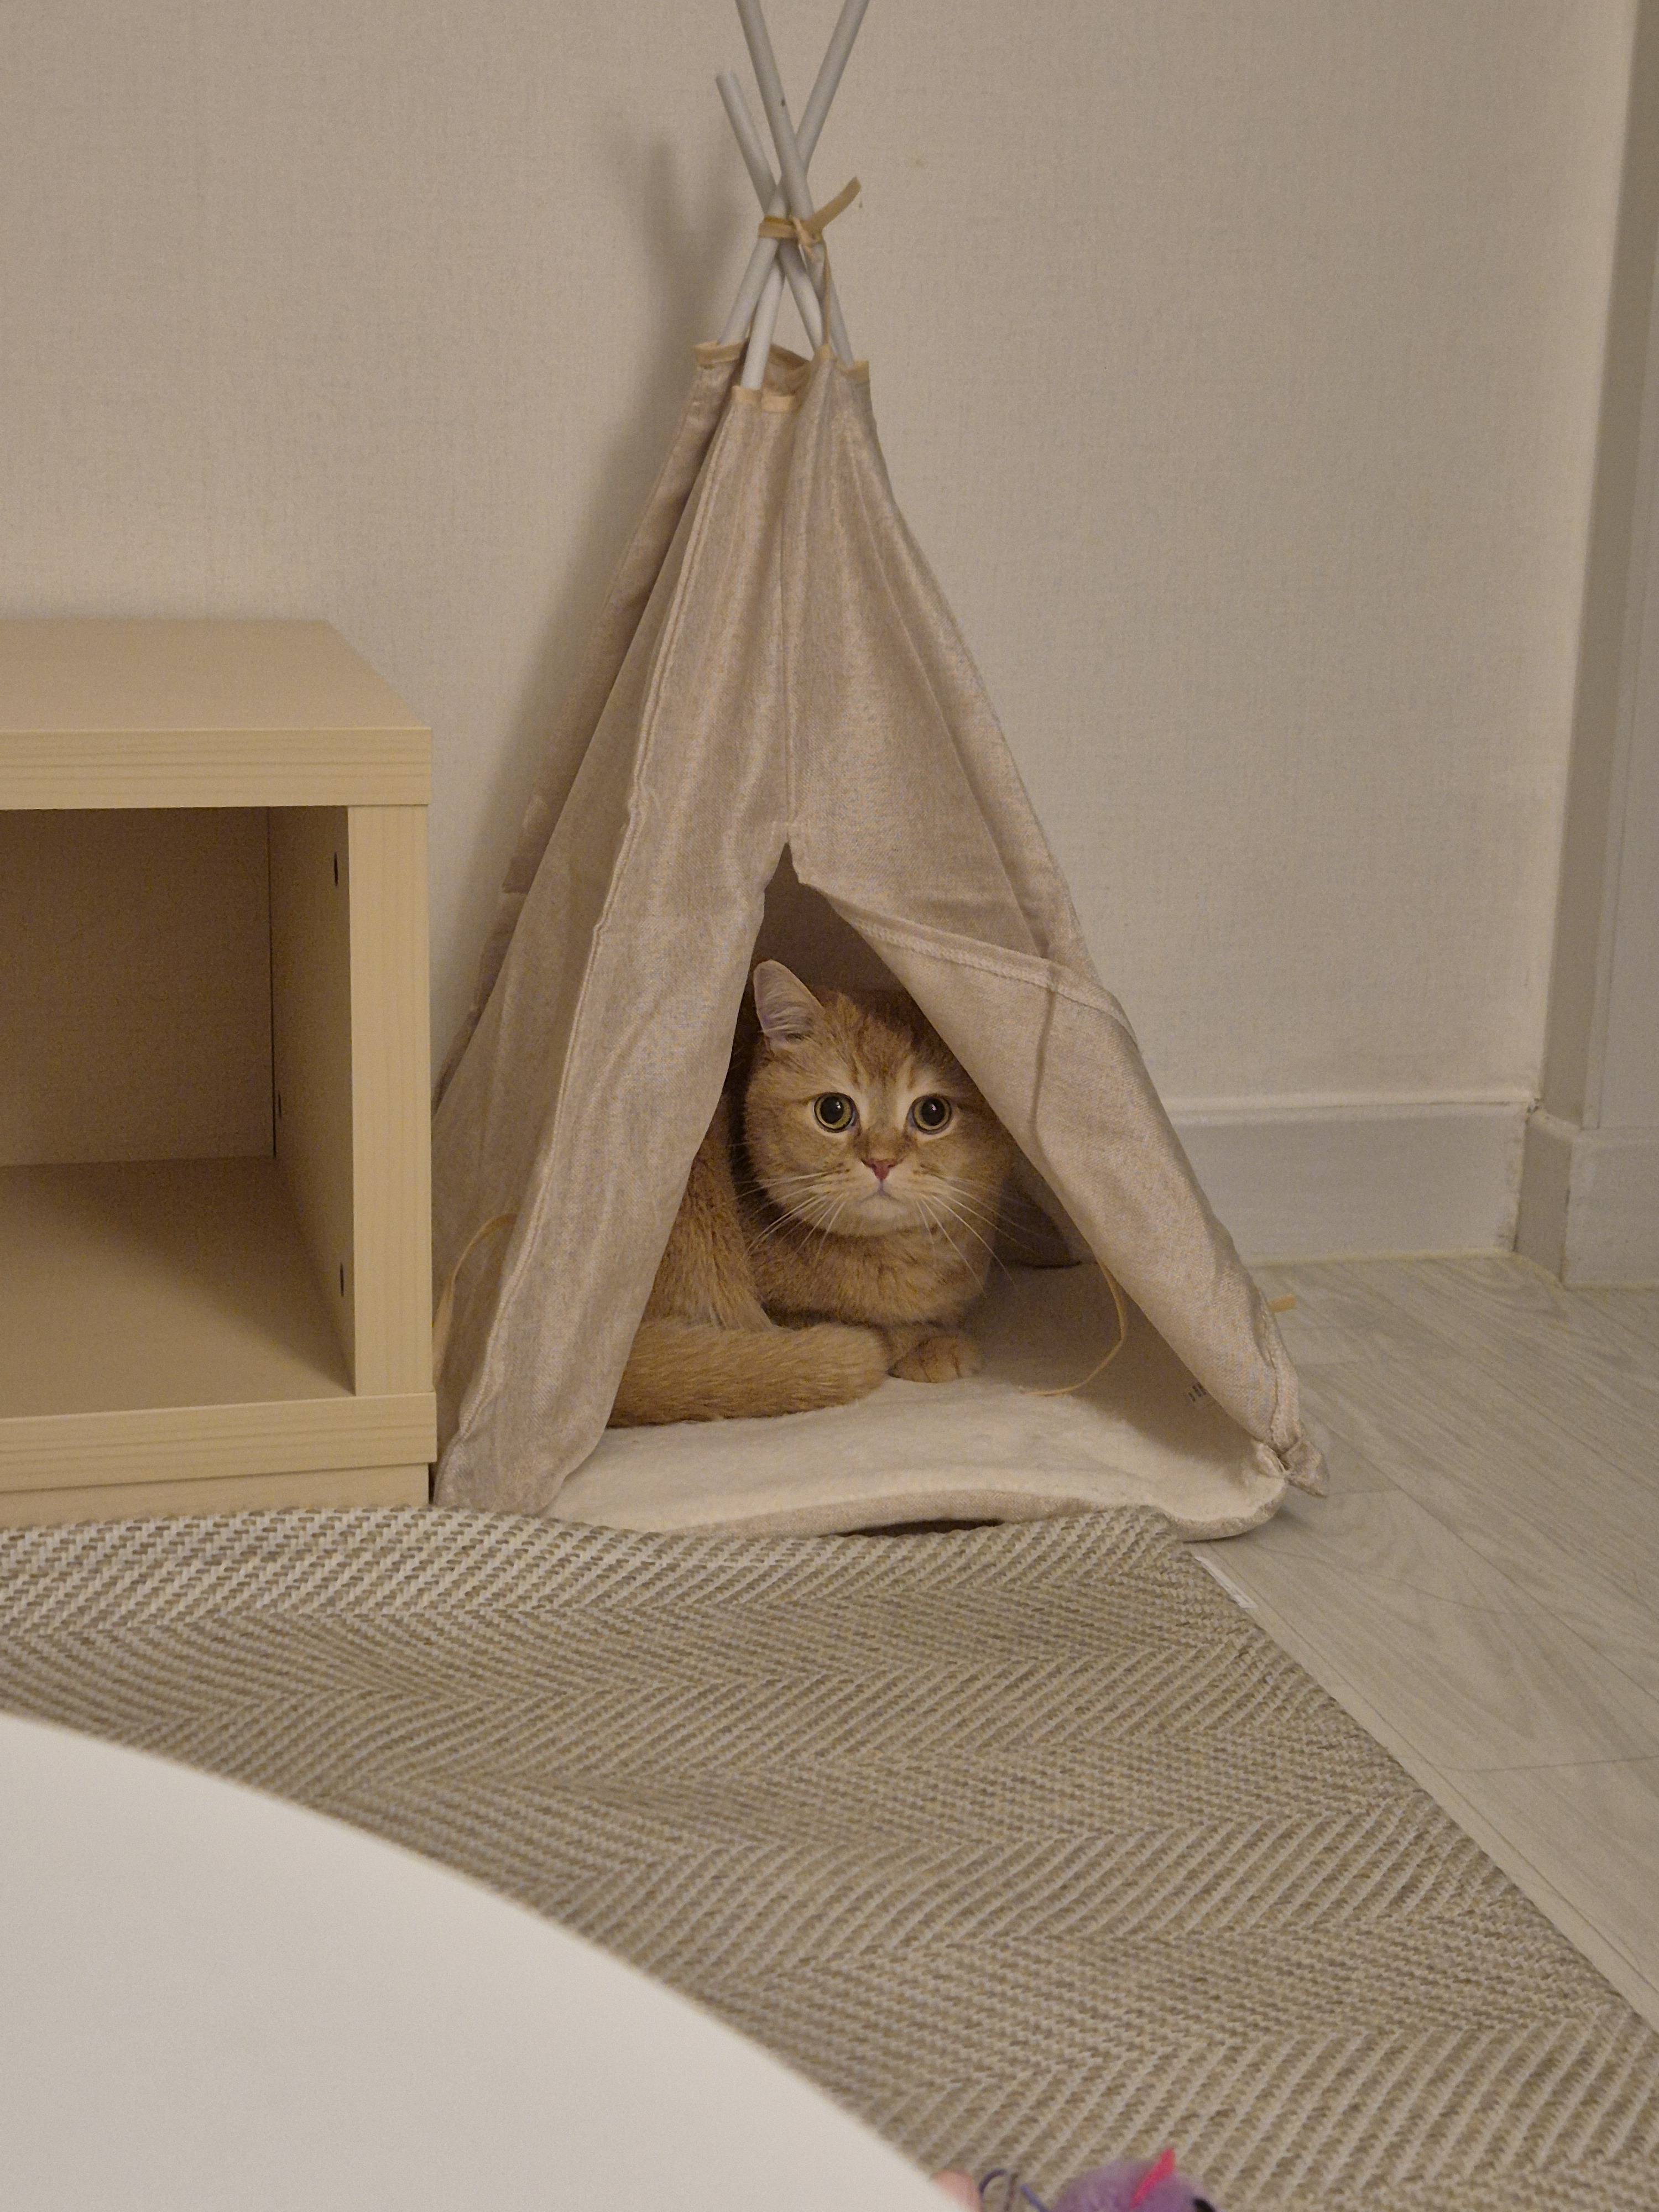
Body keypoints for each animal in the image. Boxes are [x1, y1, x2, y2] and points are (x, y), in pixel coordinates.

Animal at [609, 961, 1016, 1425]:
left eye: (933, 1113)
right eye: (833, 1111)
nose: (881, 1162)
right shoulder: (781, 1313)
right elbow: (870, 1327)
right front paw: (927, 1342)